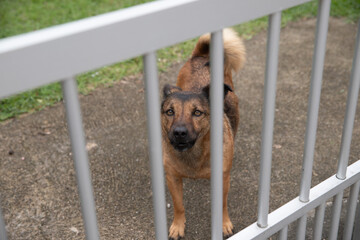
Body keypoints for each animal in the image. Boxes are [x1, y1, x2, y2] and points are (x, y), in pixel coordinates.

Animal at [162, 28, 246, 238]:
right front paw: (178, 226)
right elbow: (179, 205)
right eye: (170, 112)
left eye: (197, 113)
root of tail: (200, 57)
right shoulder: (172, 178)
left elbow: (222, 204)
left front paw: (223, 224)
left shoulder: (223, 179)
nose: (179, 132)